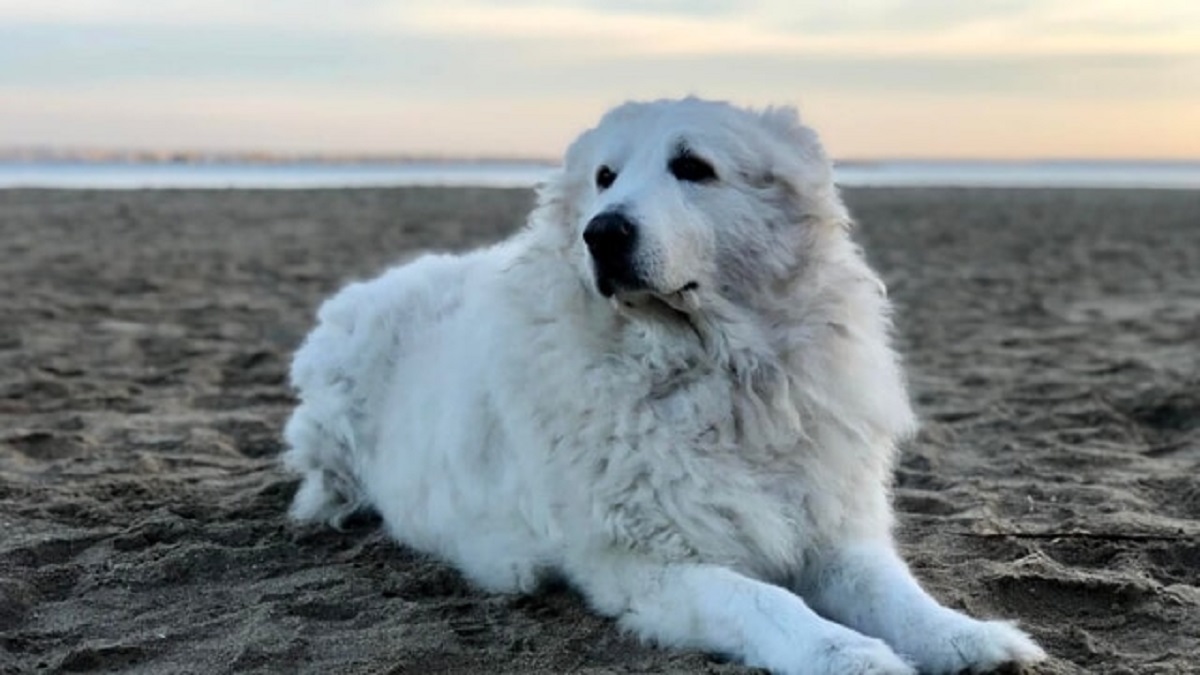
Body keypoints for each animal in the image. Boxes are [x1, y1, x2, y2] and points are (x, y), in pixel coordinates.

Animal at [285, 97, 1046, 667]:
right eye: (604, 176)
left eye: (693, 168)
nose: (602, 233)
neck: (717, 373)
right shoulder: (647, 562)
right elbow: (766, 602)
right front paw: (849, 655)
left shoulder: (832, 528)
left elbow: (898, 593)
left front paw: (967, 637)